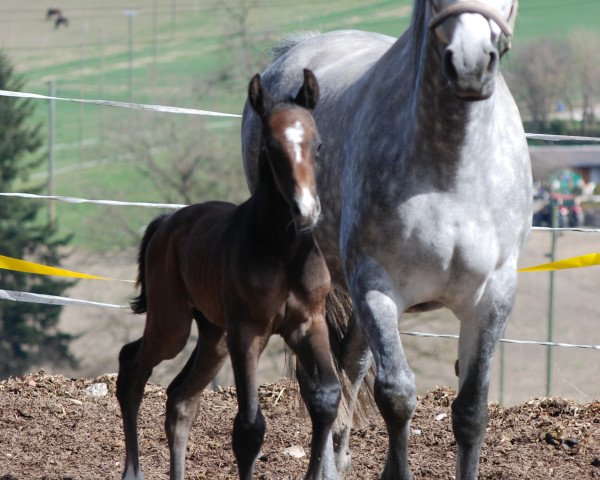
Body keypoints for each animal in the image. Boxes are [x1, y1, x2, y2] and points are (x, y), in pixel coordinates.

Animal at [117, 70, 342, 480]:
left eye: (317, 145)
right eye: (271, 147)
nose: (305, 211)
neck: (284, 252)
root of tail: (166, 223)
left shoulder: (308, 322)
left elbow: (326, 398)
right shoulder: (247, 332)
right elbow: (249, 427)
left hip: (214, 336)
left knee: (180, 399)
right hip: (173, 325)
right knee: (132, 368)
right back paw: (132, 472)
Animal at [241, 0, 532, 480]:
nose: (470, 64)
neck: (451, 172)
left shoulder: (494, 295)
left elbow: (471, 410)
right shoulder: (376, 286)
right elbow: (396, 395)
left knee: (351, 366)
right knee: (321, 381)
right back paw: (323, 468)